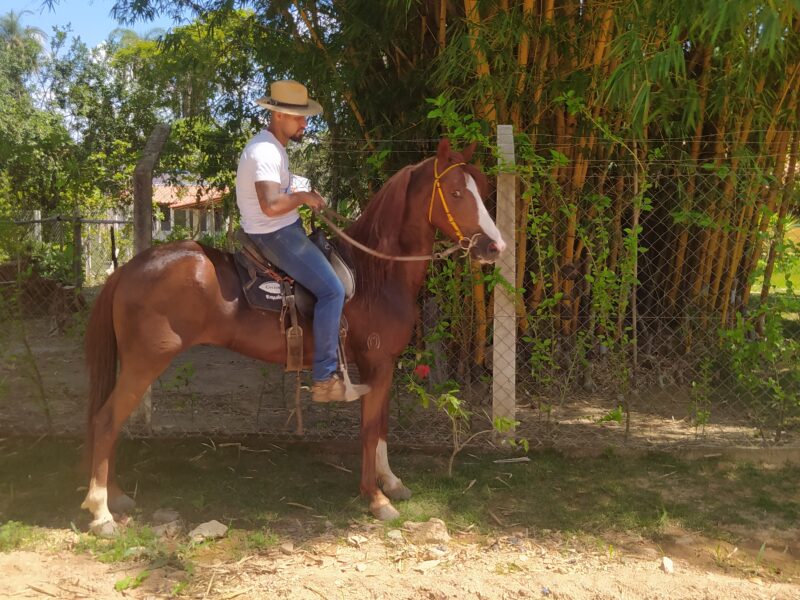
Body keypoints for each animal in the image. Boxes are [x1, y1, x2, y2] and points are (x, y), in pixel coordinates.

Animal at [82, 137, 506, 536]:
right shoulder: (374, 364)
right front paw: (376, 499)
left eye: (482, 188)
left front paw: (391, 482)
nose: (495, 247)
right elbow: (370, 431)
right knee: (106, 421)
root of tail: (131, 268)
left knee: (109, 422)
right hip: (144, 363)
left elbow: (382, 427)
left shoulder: (383, 366)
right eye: (456, 193)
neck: (375, 273)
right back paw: (101, 513)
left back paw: (114, 497)